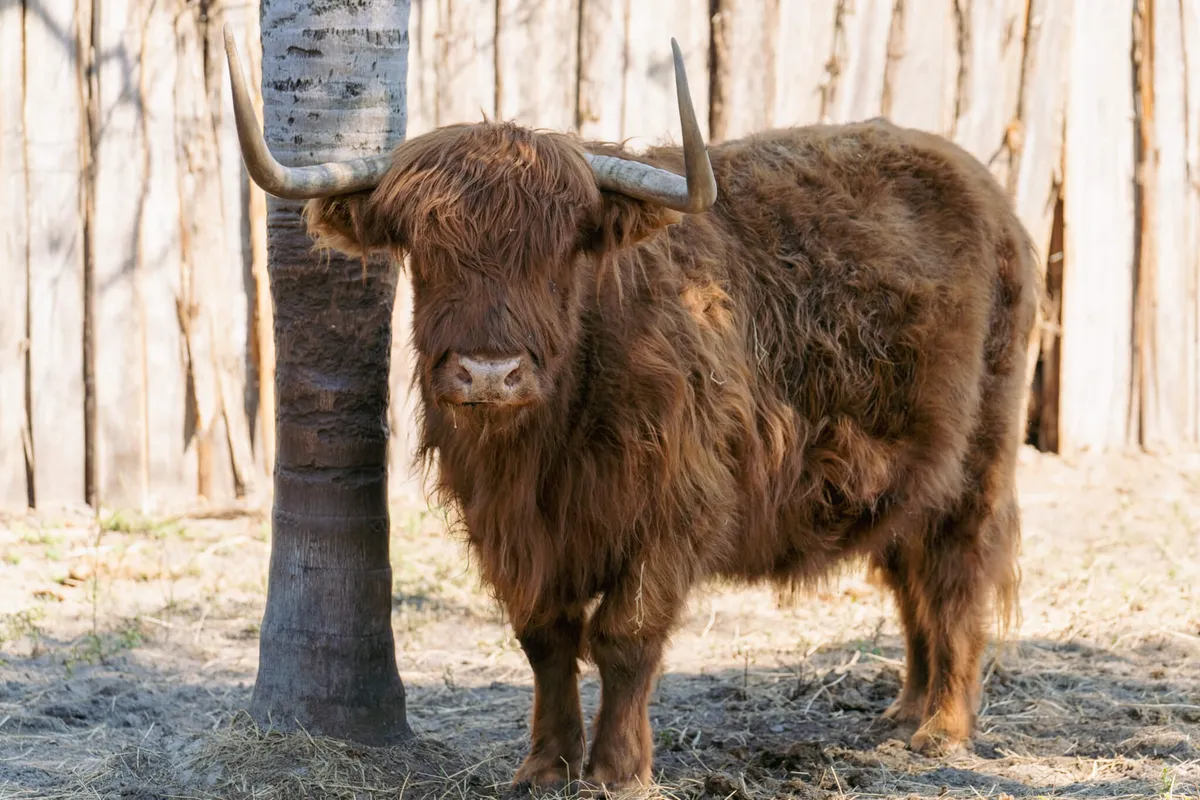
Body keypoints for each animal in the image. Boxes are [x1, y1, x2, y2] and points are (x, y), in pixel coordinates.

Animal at [225, 30, 1038, 792]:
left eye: (559, 253)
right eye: (424, 251)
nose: (490, 372)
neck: (543, 448)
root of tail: (980, 184)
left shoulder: (673, 512)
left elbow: (625, 636)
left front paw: (618, 770)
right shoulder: (508, 528)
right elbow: (545, 640)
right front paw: (546, 765)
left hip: (979, 460)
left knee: (957, 575)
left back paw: (942, 728)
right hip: (909, 473)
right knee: (911, 577)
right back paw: (901, 713)